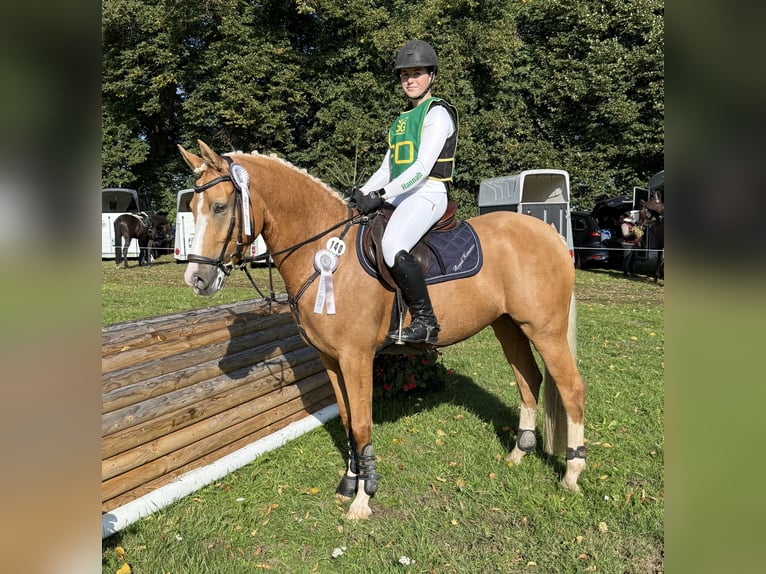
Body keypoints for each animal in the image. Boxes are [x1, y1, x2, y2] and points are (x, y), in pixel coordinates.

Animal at [178, 140, 587, 520]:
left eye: (219, 207)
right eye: (192, 208)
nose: (197, 279)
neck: (325, 253)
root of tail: (549, 231)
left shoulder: (356, 357)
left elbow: (361, 424)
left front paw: (363, 497)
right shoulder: (330, 359)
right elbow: (346, 421)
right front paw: (349, 483)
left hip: (545, 329)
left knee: (570, 388)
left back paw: (572, 473)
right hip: (509, 326)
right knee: (529, 379)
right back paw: (519, 453)